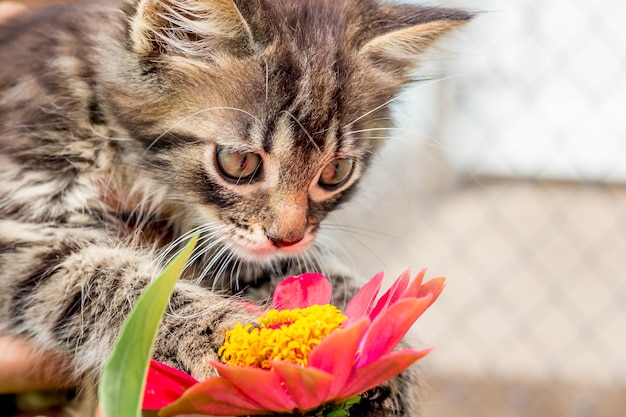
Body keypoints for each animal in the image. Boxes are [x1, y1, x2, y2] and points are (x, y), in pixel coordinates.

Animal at [0, 0, 468, 412]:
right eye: (239, 162)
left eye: (336, 171)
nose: (287, 238)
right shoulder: (20, 218)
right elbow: (107, 279)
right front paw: (220, 331)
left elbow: (312, 277)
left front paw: (371, 344)